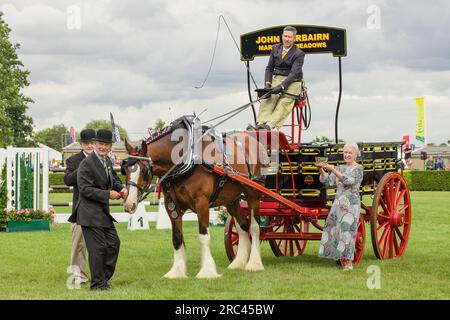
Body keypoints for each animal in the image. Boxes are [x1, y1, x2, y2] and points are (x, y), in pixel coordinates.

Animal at [121, 116, 268, 278]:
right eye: (124, 170)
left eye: (144, 171)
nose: (129, 205)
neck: (187, 157)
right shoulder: (171, 204)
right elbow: (177, 237)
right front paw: (176, 271)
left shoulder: (201, 202)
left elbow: (203, 236)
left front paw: (207, 271)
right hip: (231, 199)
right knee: (242, 225)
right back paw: (238, 262)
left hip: (253, 193)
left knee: (254, 226)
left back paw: (254, 263)